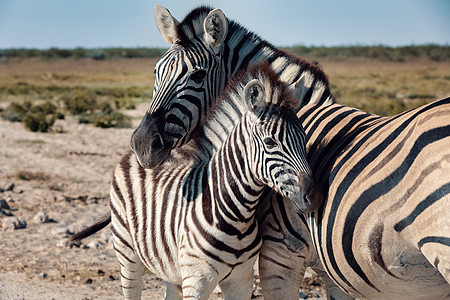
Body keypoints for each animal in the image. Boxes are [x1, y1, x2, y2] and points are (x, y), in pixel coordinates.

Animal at [108, 62, 324, 298]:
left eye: (304, 139)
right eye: (270, 142)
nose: (313, 197)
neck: (236, 216)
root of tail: (135, 154)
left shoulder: (241, 280)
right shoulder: (197, 279)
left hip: (173, 271)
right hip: (127, 253)